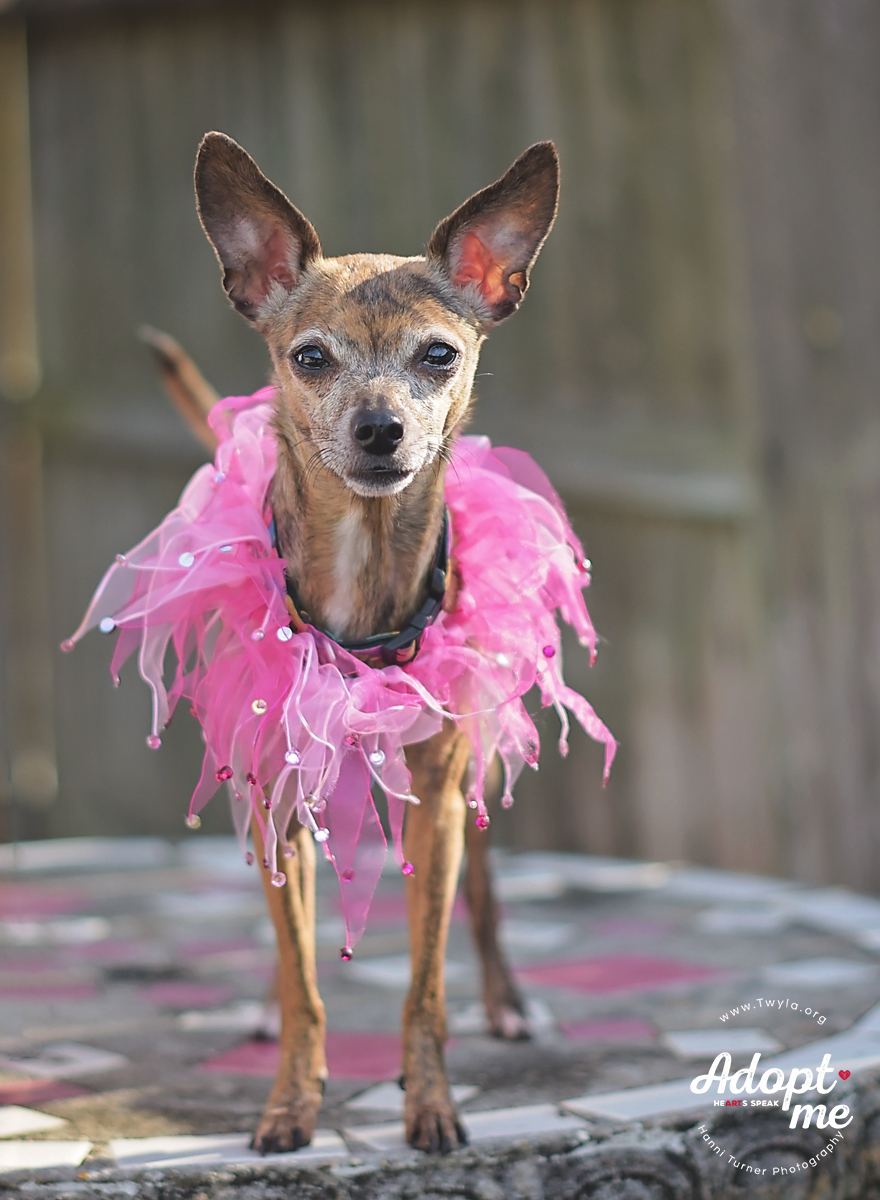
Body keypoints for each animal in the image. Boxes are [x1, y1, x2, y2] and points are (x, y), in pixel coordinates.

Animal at [73, 136, 609, 1156]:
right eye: (310, 358)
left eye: (439, 355)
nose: (380, 427)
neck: (362, 568)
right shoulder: (278, 790)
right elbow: (305, 979)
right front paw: (291, 1100)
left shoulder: (437, 803)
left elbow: (425, 987)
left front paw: (429, 1102)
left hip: (468, 771)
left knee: (483, 894)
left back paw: (508, 1001)